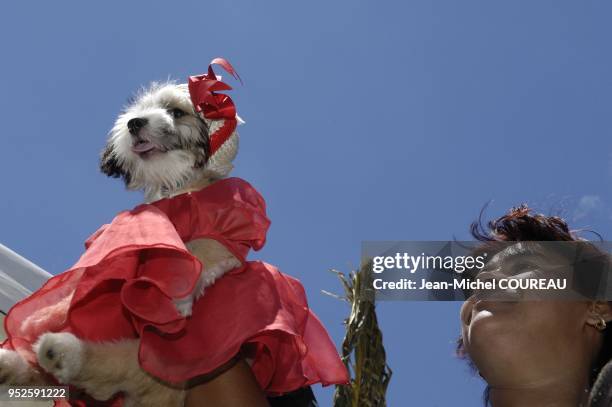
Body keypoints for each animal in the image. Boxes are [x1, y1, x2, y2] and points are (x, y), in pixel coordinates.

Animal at [0, 74, 244, 407]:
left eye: (176, 112)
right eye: (137, 110)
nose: (134, 123)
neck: (175, 188)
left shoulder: (230, 228)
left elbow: (200, 249)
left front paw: (175, 295)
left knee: (124, 363)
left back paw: (61, 352)